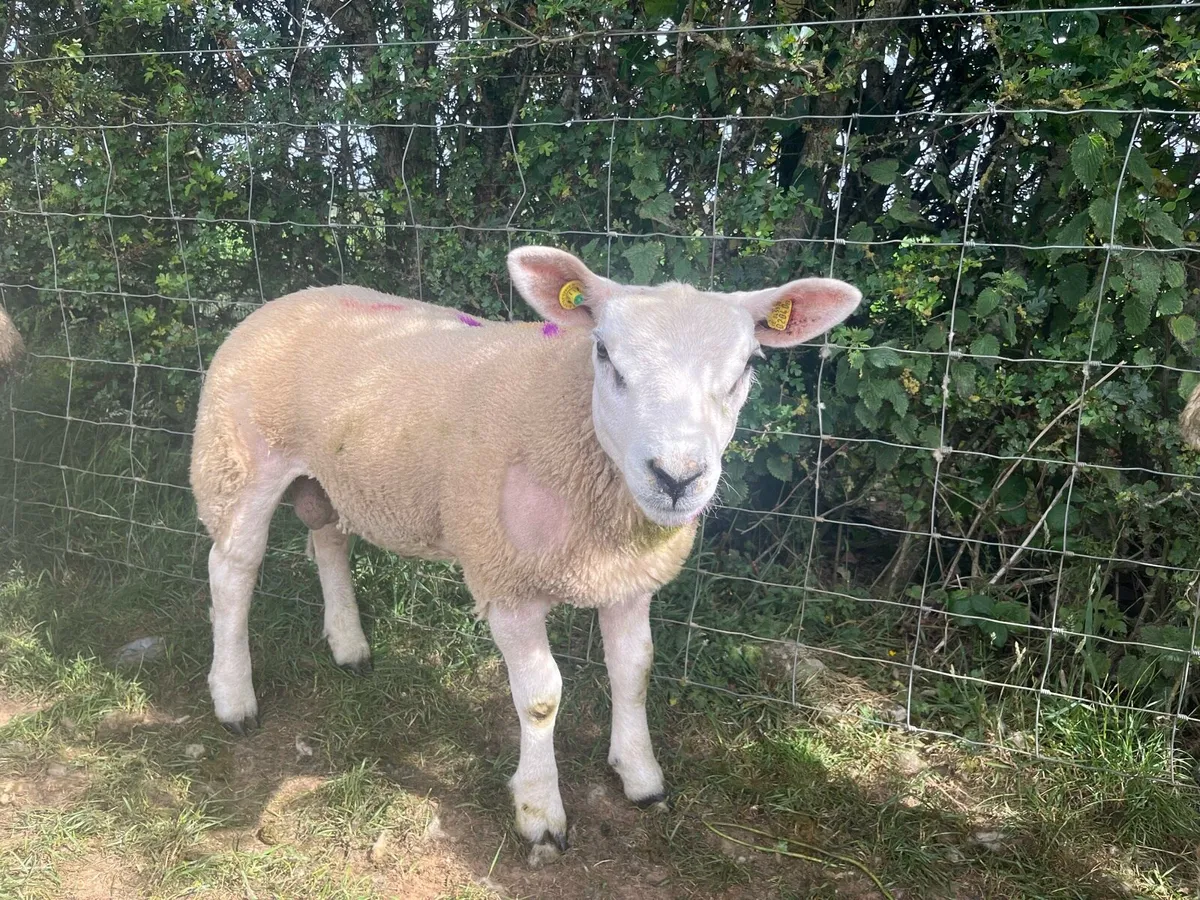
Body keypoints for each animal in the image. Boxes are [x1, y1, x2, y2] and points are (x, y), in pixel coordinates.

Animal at [190, 246, 862, 858]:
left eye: (748, 364)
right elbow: (541, 698)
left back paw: (349, 645)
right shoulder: (504, 579)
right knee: (231, 571)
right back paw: (233, 697)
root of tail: (290, 299)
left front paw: (640, 776)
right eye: (604, 354)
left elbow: (635, 670)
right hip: (241, 458)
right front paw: (540, 812)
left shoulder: (628, 579)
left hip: (328, 474)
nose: (677, 477)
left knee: (328, 539)